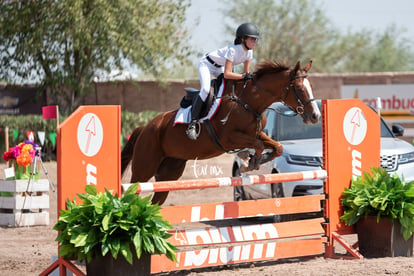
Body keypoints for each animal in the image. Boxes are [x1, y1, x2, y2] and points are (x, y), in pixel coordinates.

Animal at [119, 60, 320, 204]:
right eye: (299, 88)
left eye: (311, 86)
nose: (315, 116)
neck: (249, 102)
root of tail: (145, 127)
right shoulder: (229, 138)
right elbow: (257, 145)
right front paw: (251, 162)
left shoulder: (255, 134)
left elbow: (276, 147)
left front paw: (258, 159)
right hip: (144, 167)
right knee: (131, 191)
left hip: (169, 172)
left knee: (156, 201)